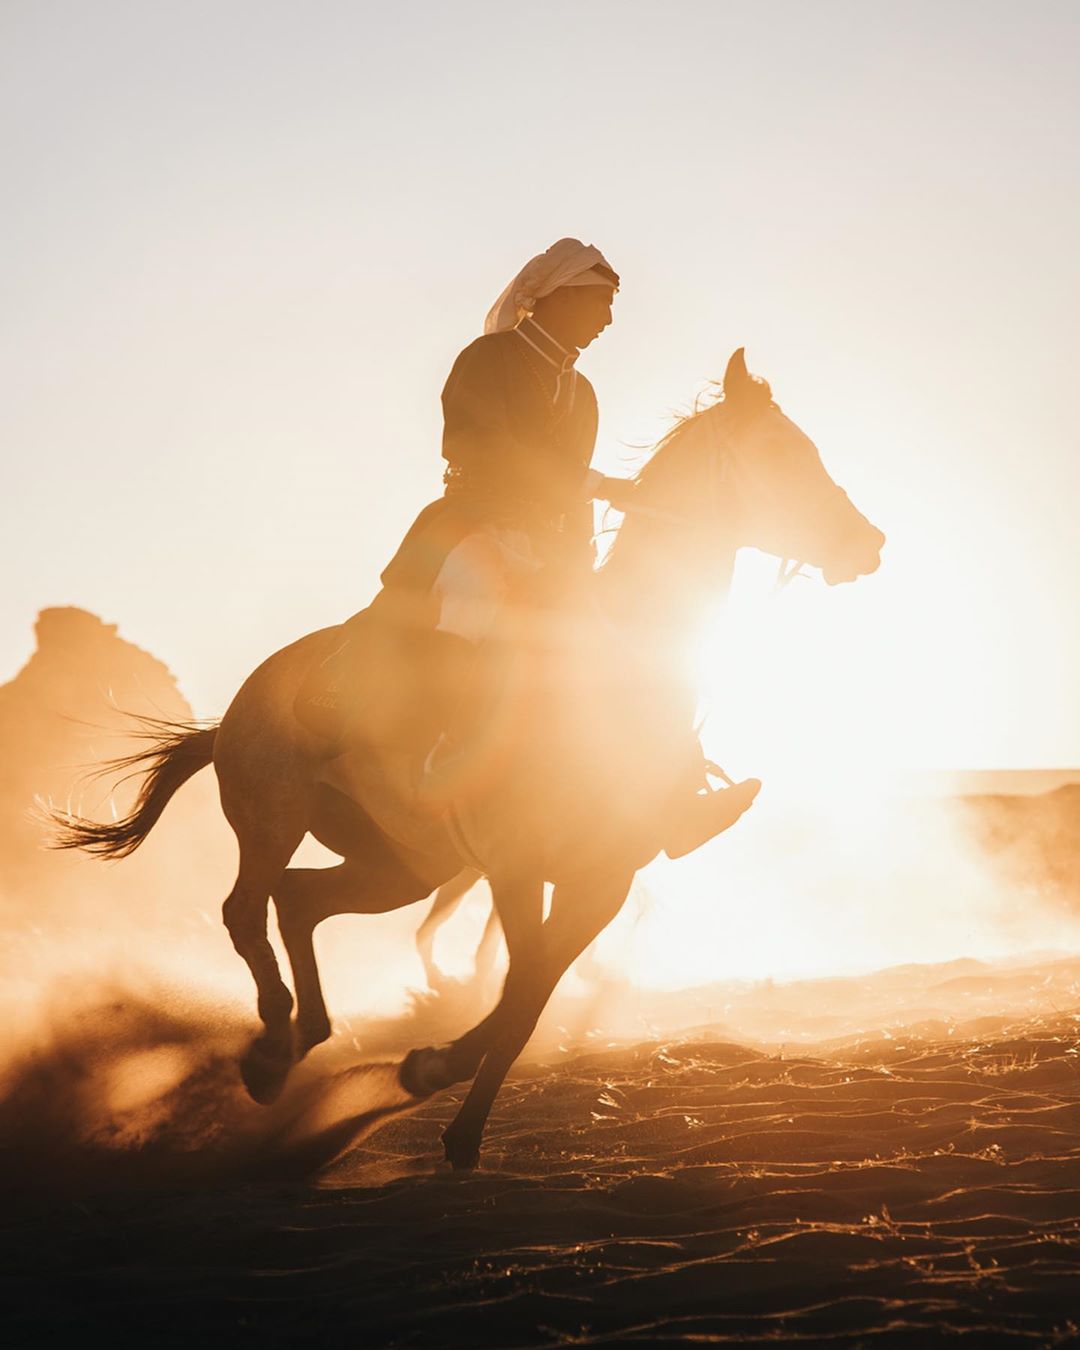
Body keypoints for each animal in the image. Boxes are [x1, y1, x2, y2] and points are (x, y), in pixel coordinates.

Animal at [52, 348, 885, 1171]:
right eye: (779, 451)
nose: (868, 543)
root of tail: (246, 700)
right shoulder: (517, 865)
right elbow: (519, 987)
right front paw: (433, 1070)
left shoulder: (600, 883)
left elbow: (529, 997)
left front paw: (454, 1111)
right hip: (273, 818)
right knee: (245, 909)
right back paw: (269, 1052)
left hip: (404, 864)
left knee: (300, 901)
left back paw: (308, 1039)